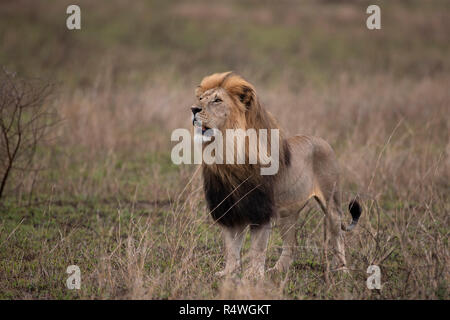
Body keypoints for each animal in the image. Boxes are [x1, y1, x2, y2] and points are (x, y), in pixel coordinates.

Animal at [191, 72, 362, 278]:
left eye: (217, 100)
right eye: (201, 98)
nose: (193, 109)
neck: (226, 149)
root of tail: (322, 140)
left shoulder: (260, 209)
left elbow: (257, 247)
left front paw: (253, 275)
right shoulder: (230, 210)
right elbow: (232, 248)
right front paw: (228, 273)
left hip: (331, 203)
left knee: (338, 236)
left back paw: (343, 270)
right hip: (287, 213)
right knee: (291, 244)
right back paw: (278, 270)